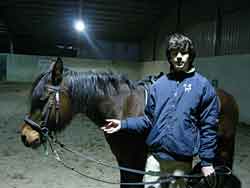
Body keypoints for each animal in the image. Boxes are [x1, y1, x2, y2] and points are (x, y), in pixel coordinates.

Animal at [20, 57, 239, 188]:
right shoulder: (124, 159)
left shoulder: (137, 159)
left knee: (222, 170)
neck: (123, 108)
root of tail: (228, 97)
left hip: (225, 146)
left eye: (43, 99)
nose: (25, 136)